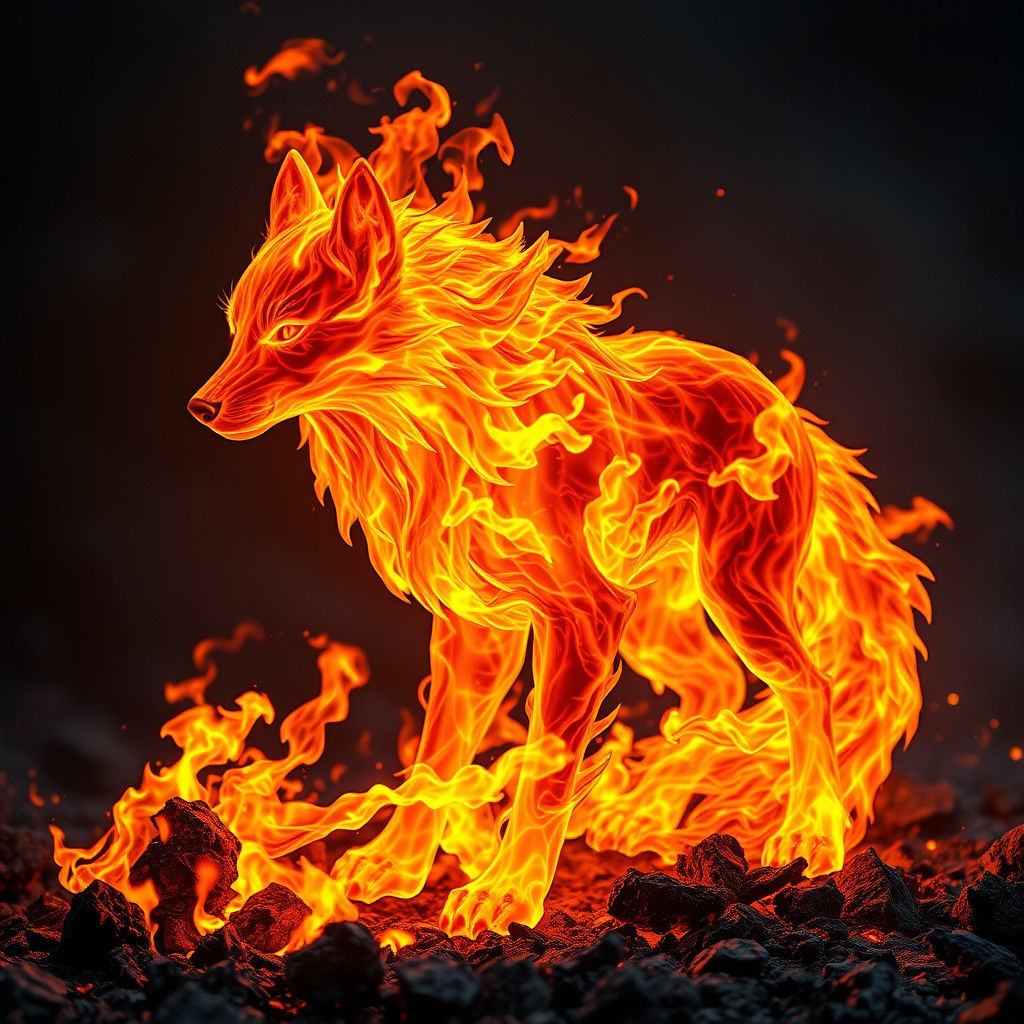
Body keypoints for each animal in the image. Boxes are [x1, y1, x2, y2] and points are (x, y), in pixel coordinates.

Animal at [189, 148, 932, 937]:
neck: (442, 432)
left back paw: (810, 834)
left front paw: (505, 894)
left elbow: (543, 776)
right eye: (238, 327)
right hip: (660, 623)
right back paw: (647, 813)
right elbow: (436, 757)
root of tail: (788, 407)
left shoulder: (582, 618)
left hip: (733, 595)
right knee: (717, 684)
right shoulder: (476, 632)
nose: (200, 407)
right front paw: (397, 865)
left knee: (809, 684)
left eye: (287, 332)